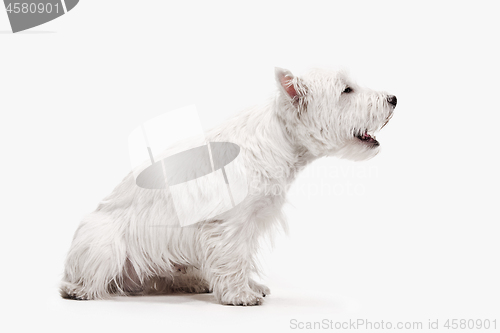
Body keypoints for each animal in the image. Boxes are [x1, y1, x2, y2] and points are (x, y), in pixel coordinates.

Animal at [60, 67, 396, 304]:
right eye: (346, 89)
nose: (393, 98)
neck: (280, 140)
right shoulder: (230, 222)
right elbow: (233, 256)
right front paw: (240, 295)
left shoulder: (252, 220)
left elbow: (243, 256)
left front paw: (250, 286)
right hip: (105, 241)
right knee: (92, 275)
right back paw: (78, 289)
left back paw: (195, 281)